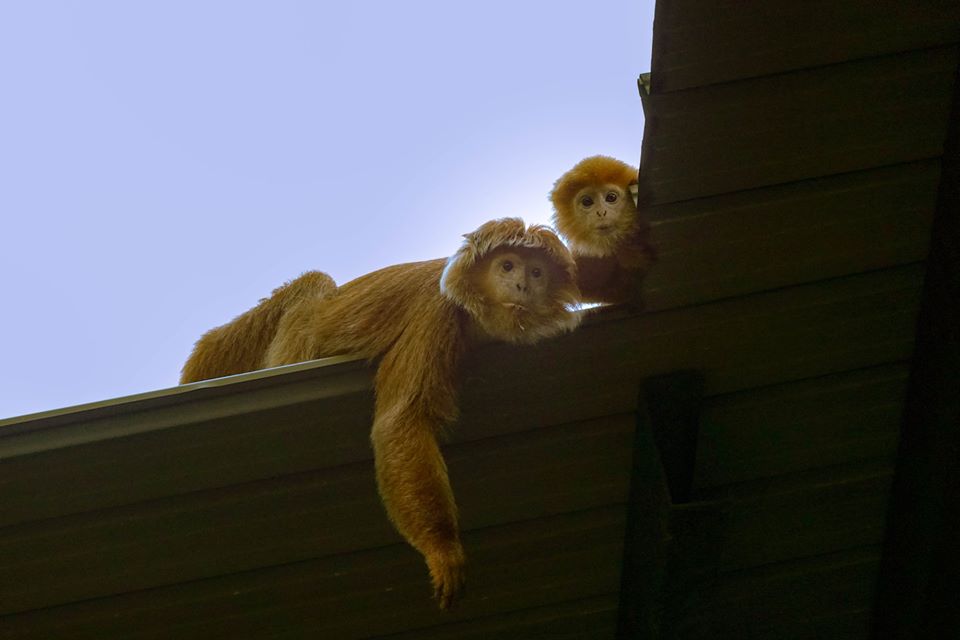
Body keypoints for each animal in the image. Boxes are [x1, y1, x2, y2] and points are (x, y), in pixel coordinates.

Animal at [180, 218, 581, 608]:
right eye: (507, 266)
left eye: (536, 273)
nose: (520, 284)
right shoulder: (436, 314)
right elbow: (400, 422)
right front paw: (442, 549)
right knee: (312, 284)